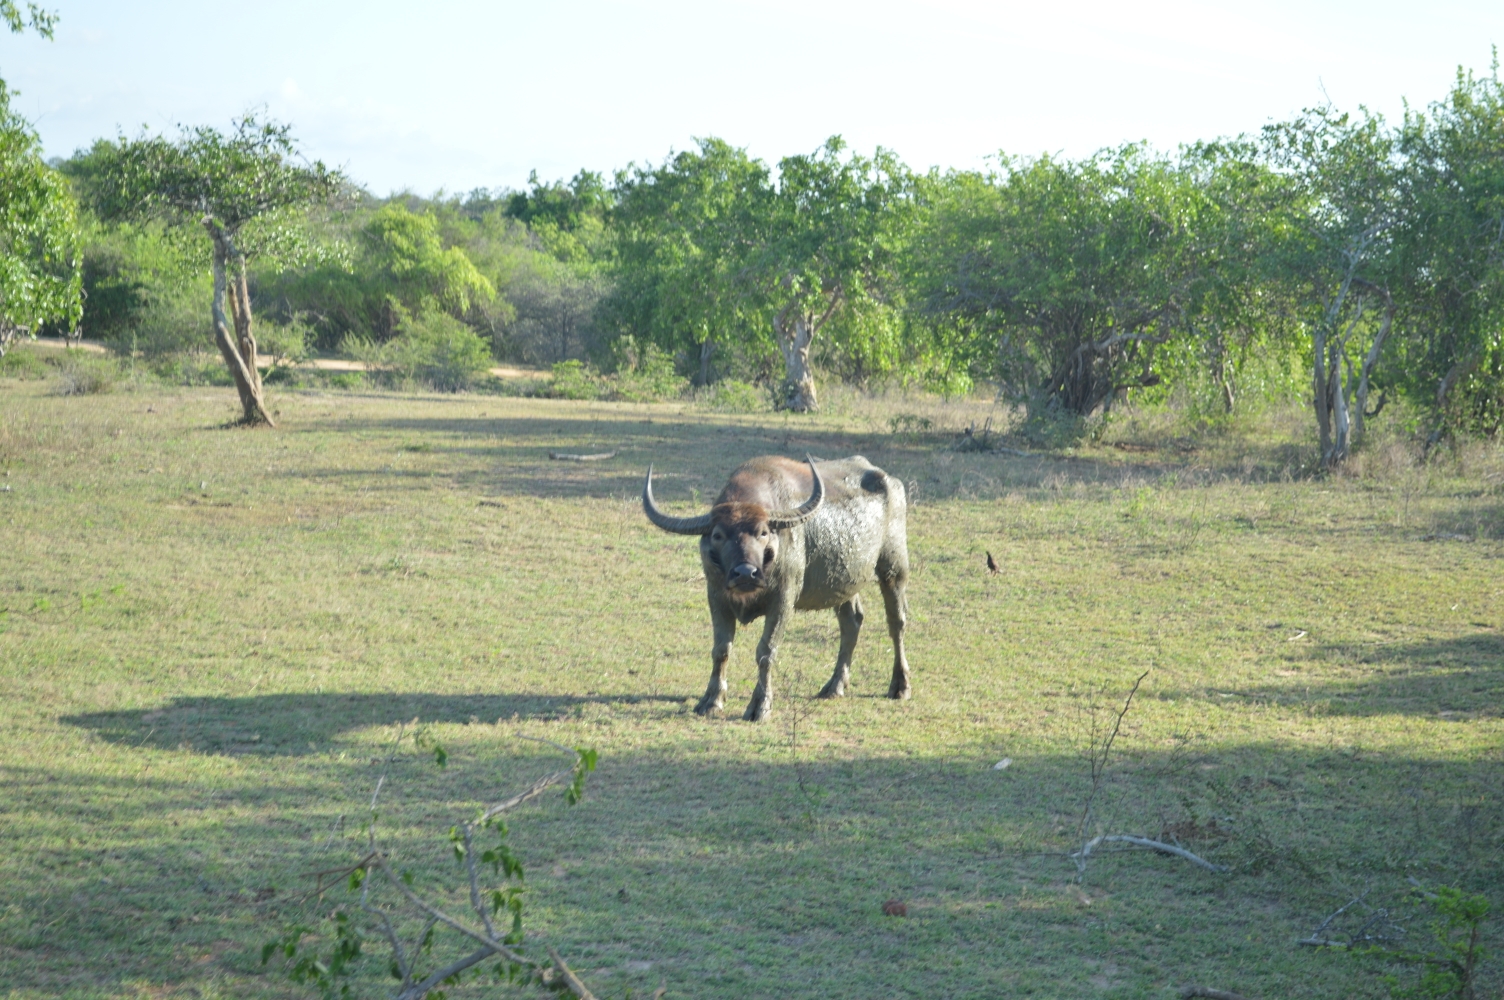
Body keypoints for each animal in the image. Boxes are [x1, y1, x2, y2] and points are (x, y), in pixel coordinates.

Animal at [643, 457, 908, 721]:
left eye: (763, 532)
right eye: (718, 535)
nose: (745, 573)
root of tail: (889, 480)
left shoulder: (783, 599)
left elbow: (766, 651)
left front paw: (760, 705)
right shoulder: (717, 597)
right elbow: (721, 649)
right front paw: (711, 700)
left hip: (893, 568)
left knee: (896, 622)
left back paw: (900, 686)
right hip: (844, 584)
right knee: (851, 621)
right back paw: (834, 686)